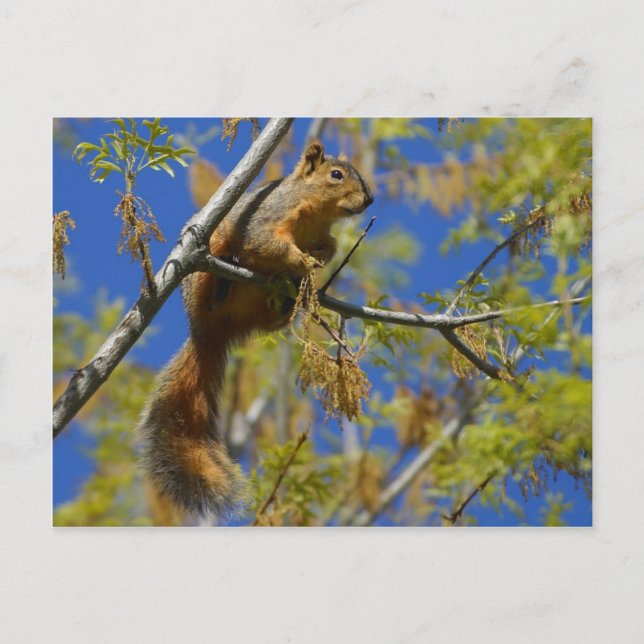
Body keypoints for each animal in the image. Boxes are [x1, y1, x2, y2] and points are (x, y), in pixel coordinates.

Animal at [138, 140, 374, 521]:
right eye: (336, 175)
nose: (369, 200)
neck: (316, 214)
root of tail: (209, 332)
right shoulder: (267, 216)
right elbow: (266, 242)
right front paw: (301, 261)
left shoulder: (325, 236)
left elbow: (329, 248)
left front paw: (314, 263)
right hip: (204, 267)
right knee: (215, 281)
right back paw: (223, 279)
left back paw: (283, 300)